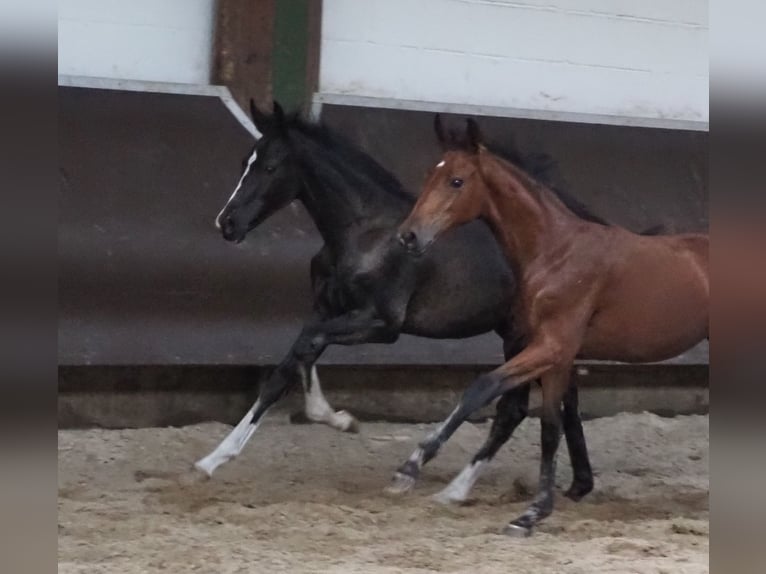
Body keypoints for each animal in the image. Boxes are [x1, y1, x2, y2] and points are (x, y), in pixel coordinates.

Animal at [195, 103, 596, 508]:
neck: (364, 233)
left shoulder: (381, 324)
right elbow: (286, 368)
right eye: (245, 162)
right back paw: (579, 483)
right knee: (565, 399)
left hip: (520, 336)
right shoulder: (324, 309)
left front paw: (337, 418)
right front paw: (212, 459)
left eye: (270, 167)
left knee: (514, 410)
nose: (226, 223)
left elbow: (308, 346)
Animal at [400, 119, 712, 536]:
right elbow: (549, 426)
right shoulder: (555, 357)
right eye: (428, 176)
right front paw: (532, 512)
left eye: (456, 181)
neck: (556, 252)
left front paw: (412, 465)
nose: (408, 236)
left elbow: (483, 388)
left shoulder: (552, 346)